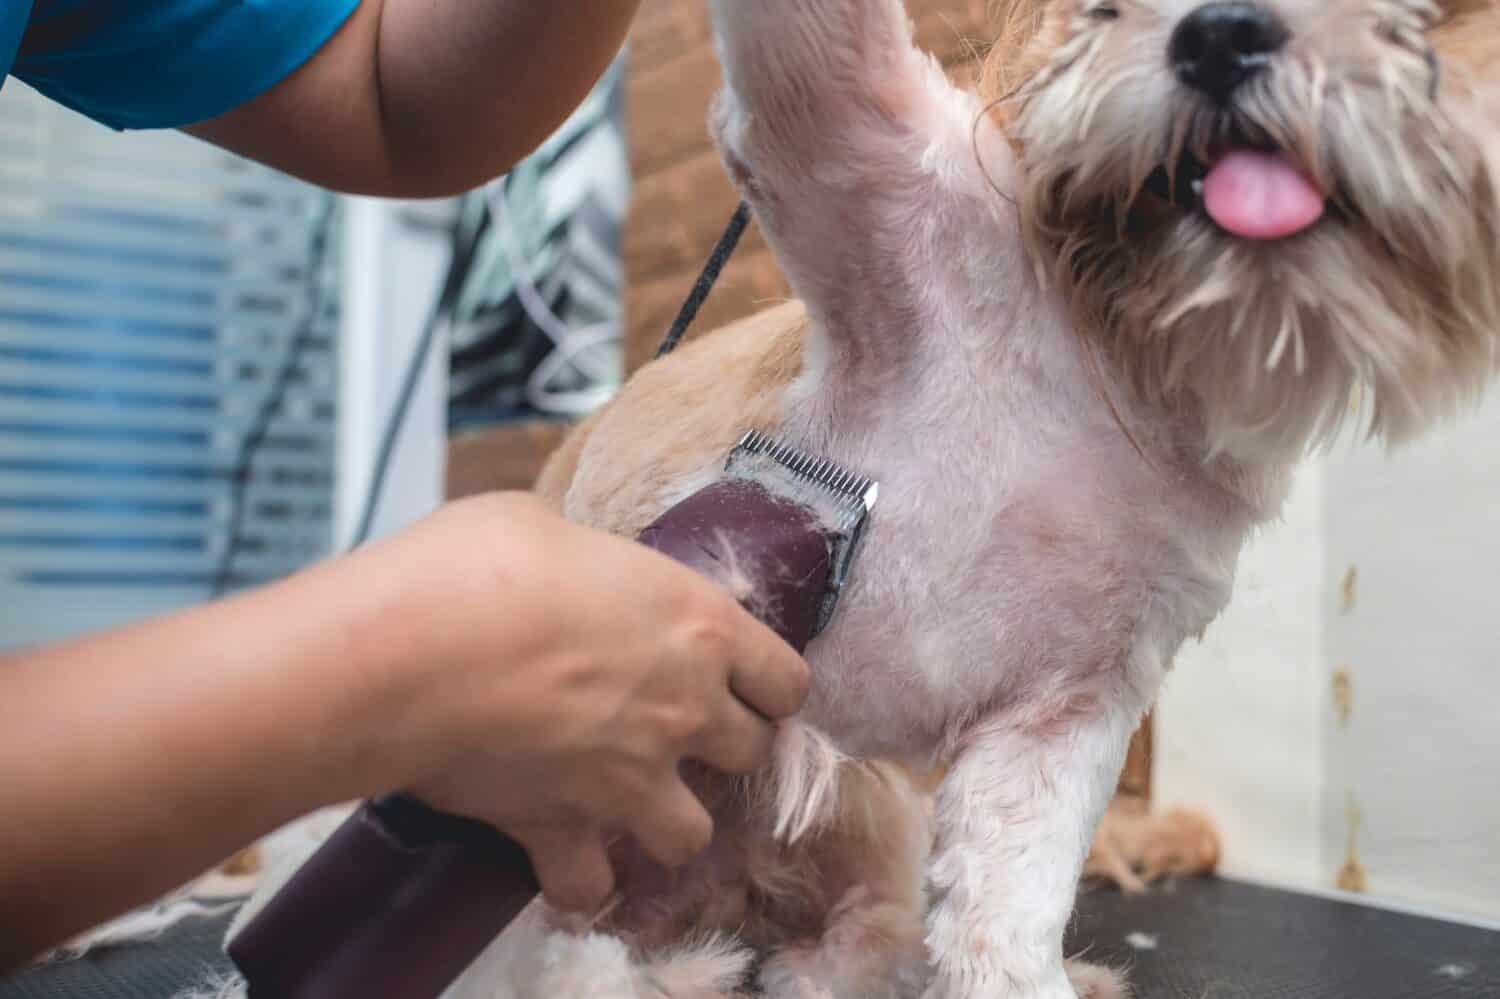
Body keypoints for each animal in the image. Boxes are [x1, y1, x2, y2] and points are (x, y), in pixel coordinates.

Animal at [211, 1, 1500, 996]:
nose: (1222, 32)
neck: (1116, 354)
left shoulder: (1062, 712)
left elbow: (1004, 908)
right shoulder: (858, 161)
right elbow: (817, 66)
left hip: (864, 806)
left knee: (859, 926)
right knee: (566, 962)